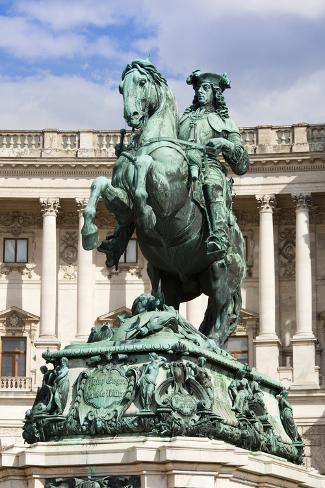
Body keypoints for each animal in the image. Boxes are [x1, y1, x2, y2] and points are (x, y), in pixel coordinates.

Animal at [81, 59, 246, 346]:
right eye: (121, 87)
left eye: (142, 82)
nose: (132, 116)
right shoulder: (122, 203)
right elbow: (99, 183)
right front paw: (90, 232)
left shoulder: (169, 197)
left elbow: (145, 168)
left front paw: (147, 213)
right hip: (165, 274)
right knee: (172, 306)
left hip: (221, 270)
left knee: (222, 312)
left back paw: (212, 342)